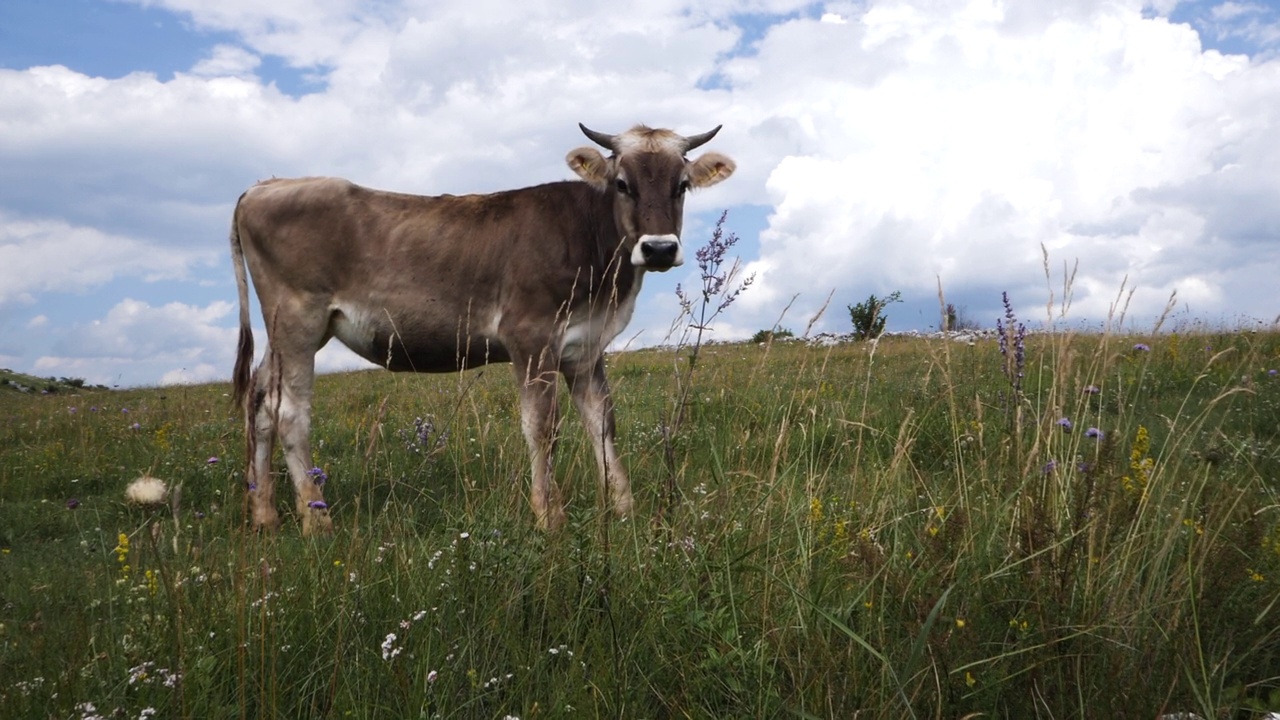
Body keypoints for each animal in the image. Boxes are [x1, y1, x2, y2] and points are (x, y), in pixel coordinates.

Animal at [225, 121, 737, 532]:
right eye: (622, 184)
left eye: (682, 185)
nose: (659, 248)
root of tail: (262, 187)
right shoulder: (531, 335)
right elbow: (542, 426)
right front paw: (549, 516)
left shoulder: (585, 347)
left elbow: (603, 423)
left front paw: (624, 509)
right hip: (299, 318)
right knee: (290, 413)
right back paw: (317, 519)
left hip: (290, 330)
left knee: (259, 402)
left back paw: (264, 515)